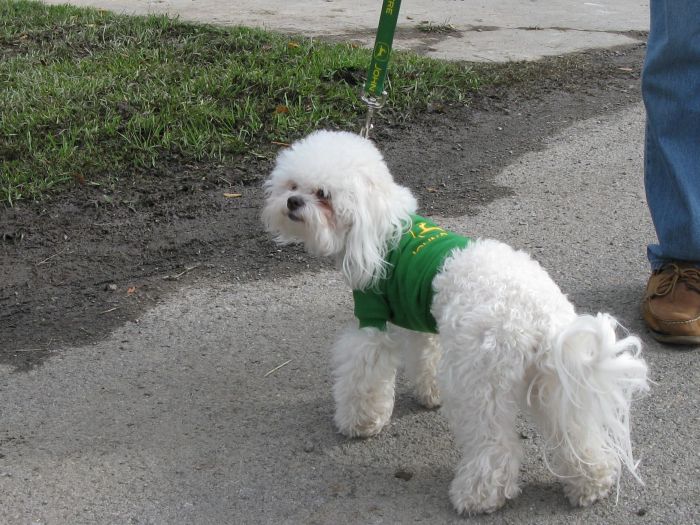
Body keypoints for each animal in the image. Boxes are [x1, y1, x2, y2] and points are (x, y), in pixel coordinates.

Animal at [264, 129, 652, 512]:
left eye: (323, 195)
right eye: (293, 185)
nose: (292, 202)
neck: (384, 228)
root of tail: (540, 317)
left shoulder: (371, 321)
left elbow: (363, 376)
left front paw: (359, 422)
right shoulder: (420, 317)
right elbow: (425, 358)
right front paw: (428, 394)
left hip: (478, 384)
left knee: (495, 446)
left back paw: (478, 496)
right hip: (551, 380)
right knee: (575, 433)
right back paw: (592, 484)